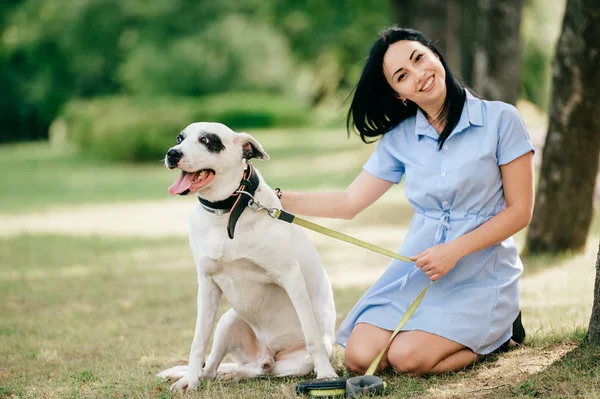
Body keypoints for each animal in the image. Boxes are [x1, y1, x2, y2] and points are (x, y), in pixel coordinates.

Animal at [157, 122, 338, 394]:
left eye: (207, 140)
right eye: (180, 138)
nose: (172, 153)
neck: (228, 211)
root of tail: (265, 353)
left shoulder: (291, 278)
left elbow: (312, 336)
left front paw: (327, 374)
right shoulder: (207, 285)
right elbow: (198, 341)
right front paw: (189, 380)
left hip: (293, 361)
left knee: (265, 370)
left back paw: (241, 372)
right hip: (227, 321)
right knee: (213, 367)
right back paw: (217, 374)